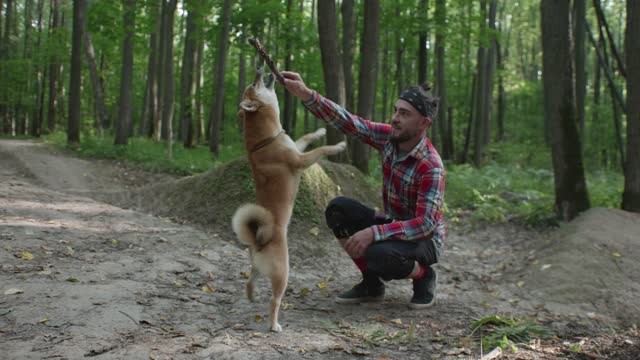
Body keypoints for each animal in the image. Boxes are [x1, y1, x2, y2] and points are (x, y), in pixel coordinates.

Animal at [232, 65, 348, 332]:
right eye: (254, 85)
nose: (259, 67)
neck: (267, 140)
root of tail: (258, 240)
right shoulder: (300, 160)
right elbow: (321, 150)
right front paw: (338, 145)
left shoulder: (296, 146)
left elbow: (306, 137)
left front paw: (321, 130)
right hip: (283, 273)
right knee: (274, 300)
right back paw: (274, 325)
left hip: (258, 267)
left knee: (251, 279)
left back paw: (251, 296)